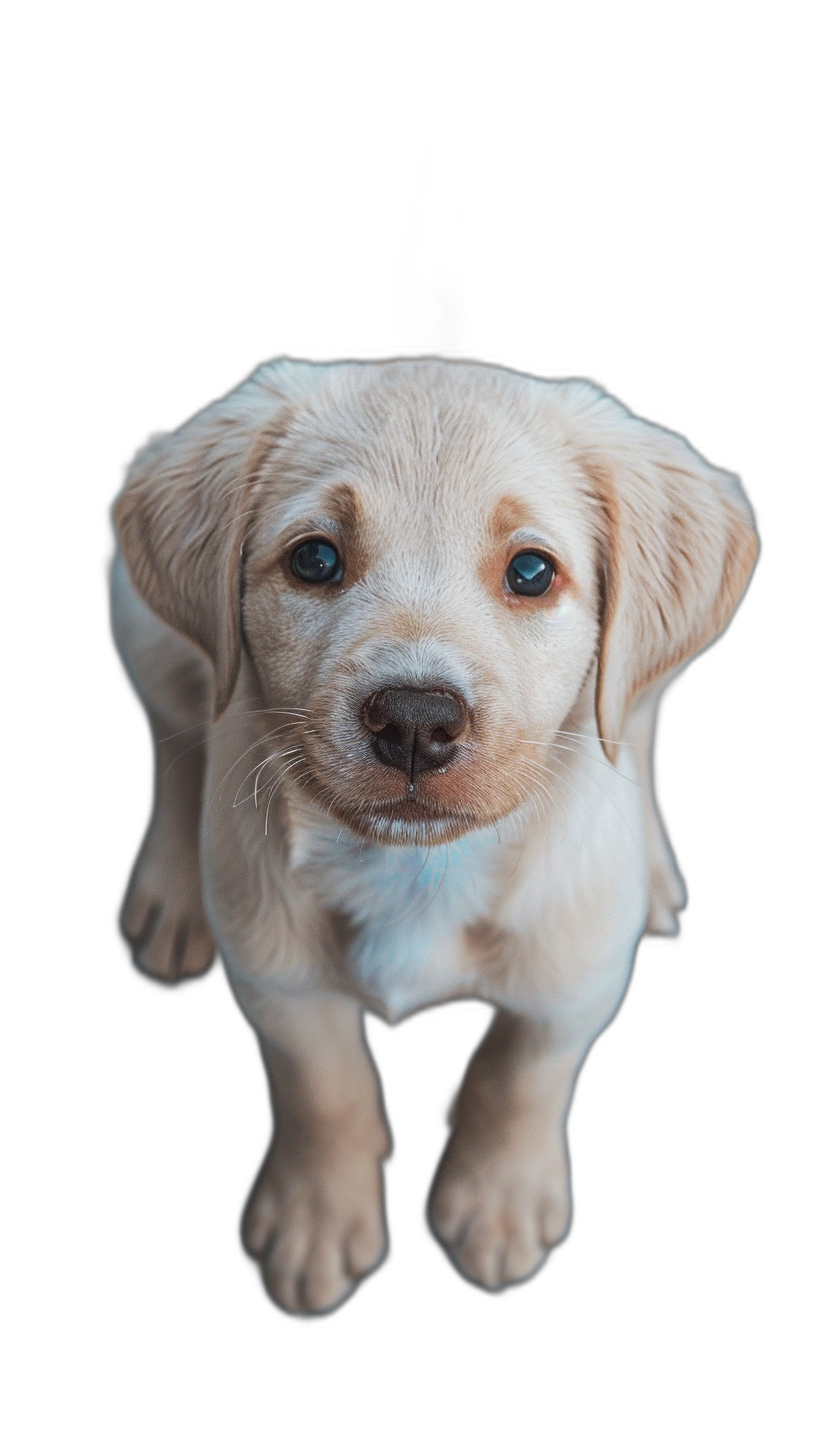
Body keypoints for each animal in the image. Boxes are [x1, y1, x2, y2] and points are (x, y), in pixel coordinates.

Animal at [110, 355, 757, 1322]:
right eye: (315, 559)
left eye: (531, 571)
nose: (415, 720)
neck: (417, 868)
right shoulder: (275, 978)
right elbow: (322, 1087)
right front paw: (314, 1217)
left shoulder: (576, 990)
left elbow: (523, 1077)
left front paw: (499, 1202)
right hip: (141, 623)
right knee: (173, 728)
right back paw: (171, 892)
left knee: (636, 710)